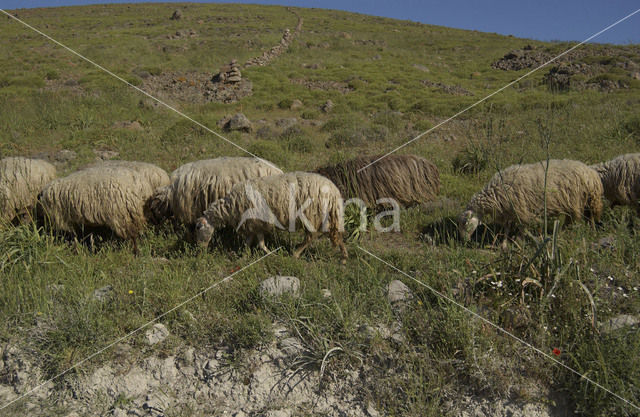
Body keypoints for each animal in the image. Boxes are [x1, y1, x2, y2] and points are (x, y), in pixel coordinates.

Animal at [38, 162, 170, 254]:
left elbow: (74, 236)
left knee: (133, 235)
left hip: (123, 214)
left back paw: (134, 251)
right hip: (138, 212)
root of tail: (142, 185)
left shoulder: (65, 219)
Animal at [194, 171, 348, 264]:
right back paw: (344, 257)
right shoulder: (254, 224)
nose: (199, 250)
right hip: (326, 216)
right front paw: (243, 256)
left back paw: (295, 254)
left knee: (312, 236)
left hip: (312, 215)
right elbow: (251, 242)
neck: (230, 206)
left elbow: (259, 243)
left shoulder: (255, 222)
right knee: (336, 235)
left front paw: (271, 255)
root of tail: (334, 191)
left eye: (198, 227)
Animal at [458, 159, 604, 240]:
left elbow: (523, 226)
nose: (464, 240)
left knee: (584, 217)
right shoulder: (510, 211)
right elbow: (509, 227)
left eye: (465, 223)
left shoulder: (521, 209)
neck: (494, 193)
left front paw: (519, 239)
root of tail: (591, 174)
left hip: (579, 200)